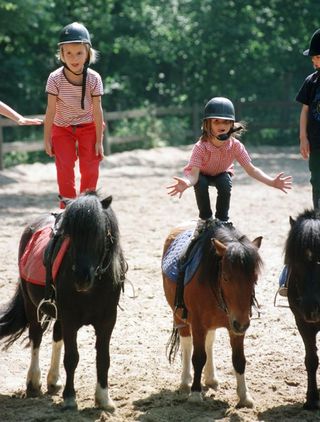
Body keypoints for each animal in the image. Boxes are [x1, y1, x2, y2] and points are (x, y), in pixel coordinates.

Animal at [0, 193, 127, 410]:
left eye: (99, 234)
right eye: (70, 236)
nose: (81, 278)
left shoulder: (107, 320)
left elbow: (103, 358)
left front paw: (103, 398)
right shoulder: (70, 319)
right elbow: (72, 358)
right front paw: (69, 398)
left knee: (56, 336)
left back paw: (53, 380)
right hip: (31, 305)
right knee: (36, 337)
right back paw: (33, 383)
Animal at [162, 223, 262, 408]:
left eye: (254, 278)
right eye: (226, 278)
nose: (242, 324)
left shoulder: (236, 326)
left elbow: (239, 360)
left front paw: (244, 397)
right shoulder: (198, 325)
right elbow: (198, 357)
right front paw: (195, 394)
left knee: (209, 343)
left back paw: (210, 378)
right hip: (179, 316)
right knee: (187, 344)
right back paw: (186, 382)